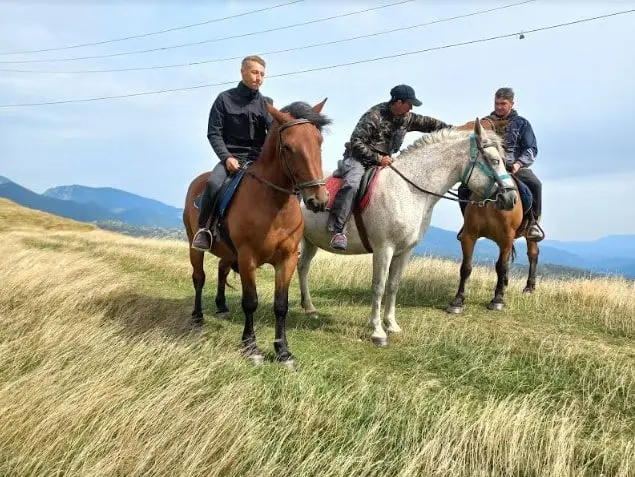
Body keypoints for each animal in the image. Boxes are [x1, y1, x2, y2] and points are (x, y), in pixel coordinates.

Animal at [183, 99, 330, 368]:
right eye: (288, 147)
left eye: (319, 141)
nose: (319, 199)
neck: (273, 203)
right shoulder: (247, 257)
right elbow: (250, 301)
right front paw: (250, 347)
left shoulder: (287, 259)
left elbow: (281, 305)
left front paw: (283, 351)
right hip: (194, 246)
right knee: (199, 278)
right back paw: (198, 317)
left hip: (228, 253)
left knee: (221, 270)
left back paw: (221, 307)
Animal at [298, 117, 516, 344]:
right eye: (494, 160)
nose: (511, 198)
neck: (408, 189)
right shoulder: (384, 249)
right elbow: (379, 286)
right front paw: (377, 331)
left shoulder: (404, 251)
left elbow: (393, 286)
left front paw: (391, 325)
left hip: (310, 241)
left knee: (302, 267)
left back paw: (310, 308)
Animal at [448, 117, 540, 314]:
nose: (511, 199)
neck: (490, 202)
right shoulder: (469, 235)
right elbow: (466, 267)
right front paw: (458, 300)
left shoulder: (507, 237)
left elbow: (501, 266)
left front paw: (497, 299)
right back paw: (505, 284)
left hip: (529, 236)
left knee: (533, 254)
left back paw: (529, 287)